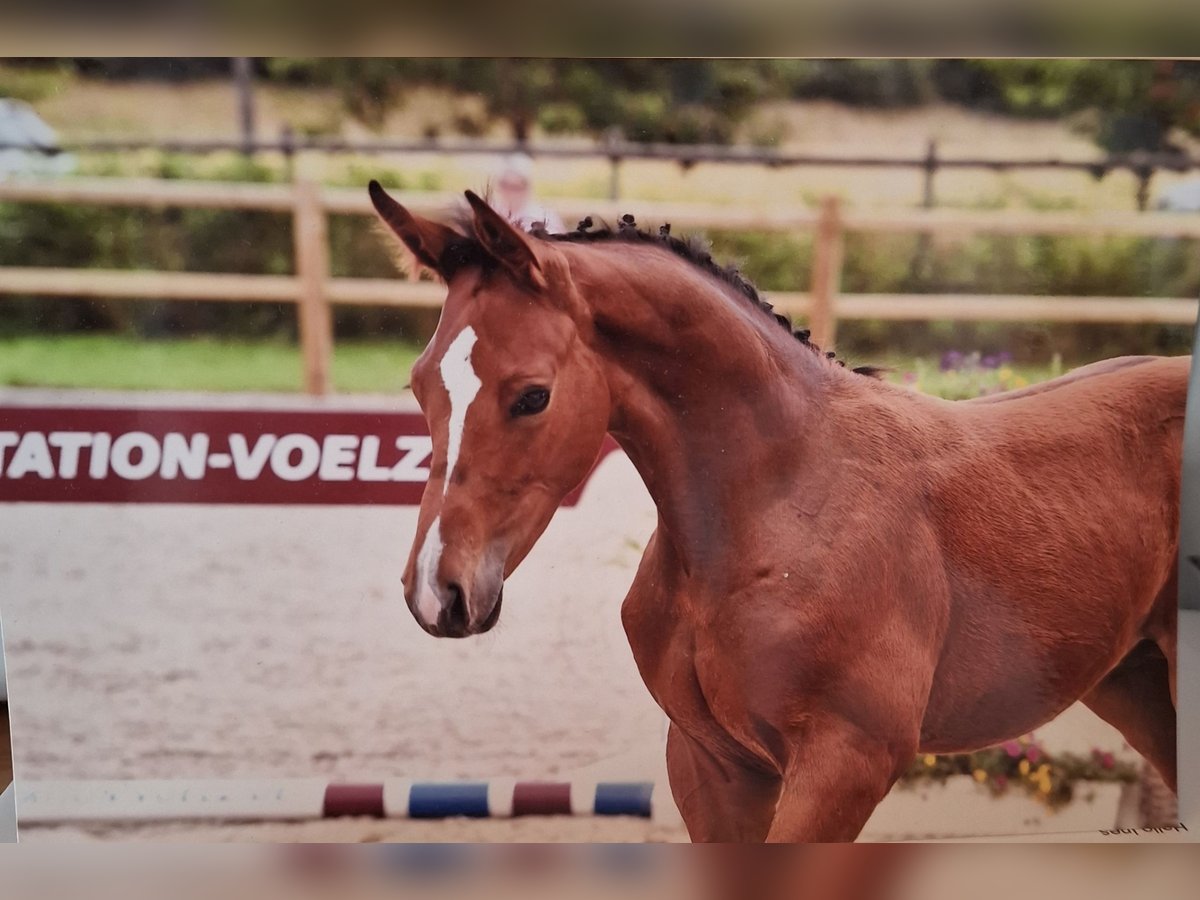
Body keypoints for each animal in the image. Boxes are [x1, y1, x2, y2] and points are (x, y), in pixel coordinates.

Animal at [367, 180, 1180, 844]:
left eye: (532, 394)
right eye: (418, 384)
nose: (438, 591)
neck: (777, 505)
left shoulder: (845, 764)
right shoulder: (713, 765)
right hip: (1138, 686)